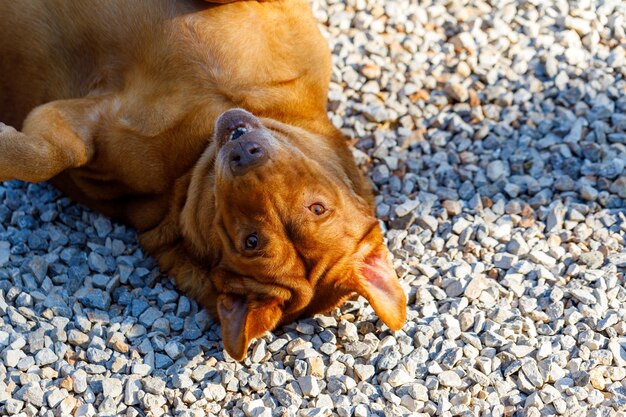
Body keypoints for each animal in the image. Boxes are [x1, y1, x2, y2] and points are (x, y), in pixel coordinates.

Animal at [0, 0, 404, 358]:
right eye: (318, 208)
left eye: (249, 241)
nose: (244, 154)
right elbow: (44, 157)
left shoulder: (90, 127)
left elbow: (49, 156)